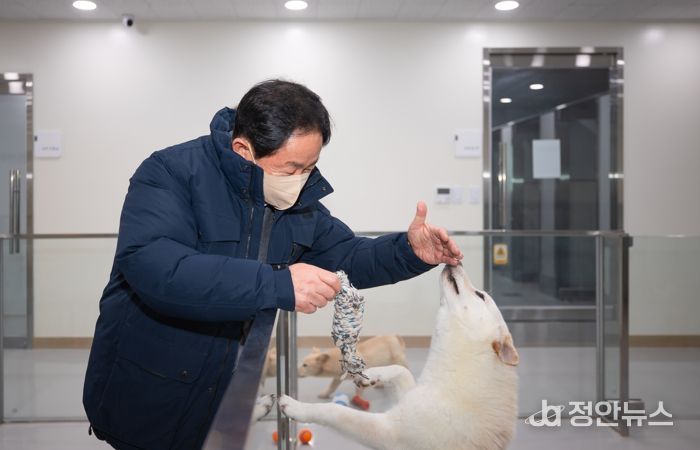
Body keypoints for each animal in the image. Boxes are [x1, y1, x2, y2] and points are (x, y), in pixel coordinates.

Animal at [280, 264, 519, 450]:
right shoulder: (405, 401)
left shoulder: (390, 433)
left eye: (481, 295)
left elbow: (335, 411)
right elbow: (400, 370)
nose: (457, 261)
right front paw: (371, 376)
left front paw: (296, 407)